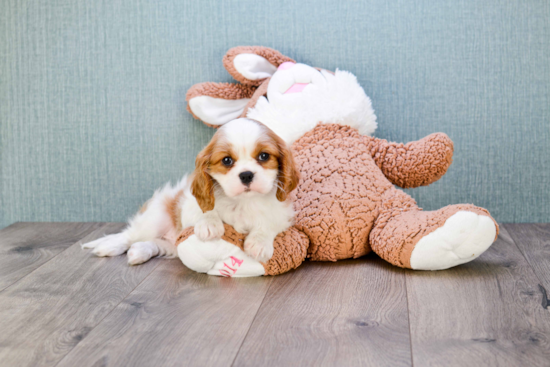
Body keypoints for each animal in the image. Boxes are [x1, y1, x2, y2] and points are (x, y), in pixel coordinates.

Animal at [81, 119, 302, 266]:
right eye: (227, 160)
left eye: (264, 156)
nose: (246, 175)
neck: (242, 202)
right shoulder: (187, 202)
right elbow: (203, 209)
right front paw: (209, 224)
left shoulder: (282, 212)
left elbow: (268, 222)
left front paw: (259, 243)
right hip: (157, 216)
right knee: (130, 234)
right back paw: (110, 246)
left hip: (173, 243)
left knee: (158, 244)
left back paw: (140, 251)